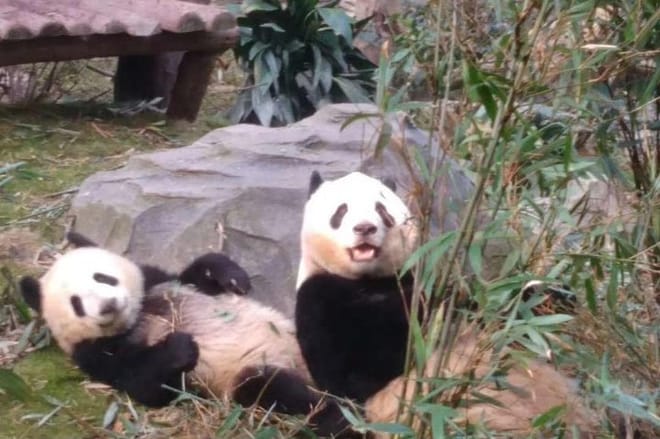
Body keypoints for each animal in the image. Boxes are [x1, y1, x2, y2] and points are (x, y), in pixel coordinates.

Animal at [19, 237, 351, 437]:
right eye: (76, 303)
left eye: (102, 277)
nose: (108, 305)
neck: (136, 319)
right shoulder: (96, 354)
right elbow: (145, 385)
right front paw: (180, 347)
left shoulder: (158, 283)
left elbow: (192, 276)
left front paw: (230, 275)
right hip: (248, 378)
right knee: (268, 386)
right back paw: (333, 416)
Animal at [295, 171, 598, 437]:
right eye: (341, 211)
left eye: (381, 209)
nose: (365, 228)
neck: (369, 279)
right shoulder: (319, 300)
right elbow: (359, 369)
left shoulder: (425, 282)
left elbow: (491, 310)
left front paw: (553, 296)